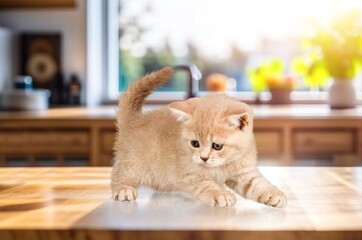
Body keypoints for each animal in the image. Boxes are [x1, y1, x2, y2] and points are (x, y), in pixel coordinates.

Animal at [111, 66, 288, 207]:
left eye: (217, 146)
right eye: (195, 143)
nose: (203, 158)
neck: (221, 165)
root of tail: (135, 119)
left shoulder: (244, 173)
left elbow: (258, 184)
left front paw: (274, 194)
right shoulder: (188, 175)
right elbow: (206, 184)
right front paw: (221, 195)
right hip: (132, 163)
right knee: (118, 174)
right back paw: (123, 189)